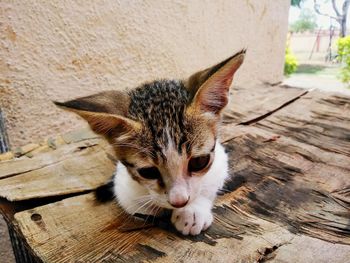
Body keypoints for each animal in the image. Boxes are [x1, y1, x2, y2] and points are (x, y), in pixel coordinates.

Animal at [55, 50, 246, 236]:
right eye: (148, 172)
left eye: (199, 162)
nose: (179, 202)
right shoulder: (124, 187)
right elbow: (143, 206)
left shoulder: (220, 160)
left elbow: (209, 184)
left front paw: (192, 211)